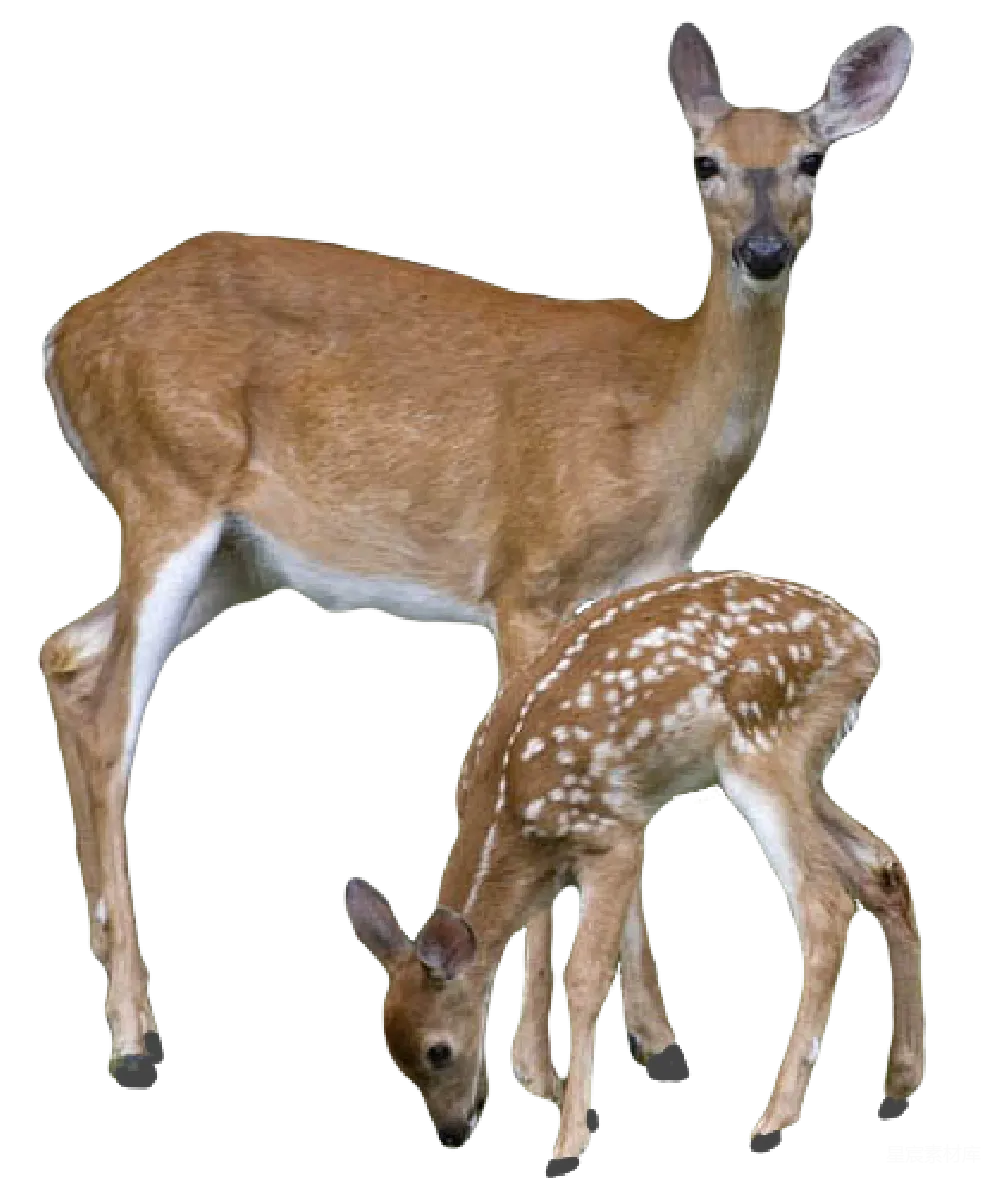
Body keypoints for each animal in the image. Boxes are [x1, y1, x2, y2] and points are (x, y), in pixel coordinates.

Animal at [38, 19, 913, 1085]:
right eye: (705, 160)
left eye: (813, 160)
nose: (762, 250)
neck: (660, 421)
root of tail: (64, 334)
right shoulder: (527, 576)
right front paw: (538, 1065)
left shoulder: (647, 592)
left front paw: (657, 1038)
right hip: (167, 486)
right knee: (109, 717)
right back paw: (132, 1037)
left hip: (238, 557)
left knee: (66, 653)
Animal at [343, 570, 924, 1157]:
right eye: (394, 1056)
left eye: (438, 1050)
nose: (449, 1133)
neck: (508, 816)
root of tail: (862, 642)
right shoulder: (611, 833)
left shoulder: (611, 834)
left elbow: (584, 977)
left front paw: (568, 1139)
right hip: (797, 769)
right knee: (884, 866)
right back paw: (903, 1077)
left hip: (763, 748)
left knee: (825, 904)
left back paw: (774, 1118)